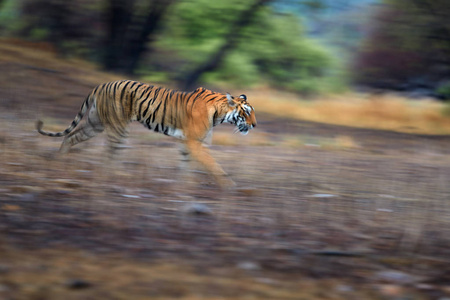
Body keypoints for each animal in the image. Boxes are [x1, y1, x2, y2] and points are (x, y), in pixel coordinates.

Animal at [35, 79, 256, 188]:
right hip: (118, 127)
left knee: (71, 136)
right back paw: (116, 176)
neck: (220, 113)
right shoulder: (195, 142)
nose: (254, 125)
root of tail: (101, 84)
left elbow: (186, 166)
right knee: (110, 155)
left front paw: (182, 185)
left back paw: (60, 159)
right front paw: (229, 185)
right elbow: (213, 165)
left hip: (95, 123)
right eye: (246, 112)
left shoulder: (189, 143)